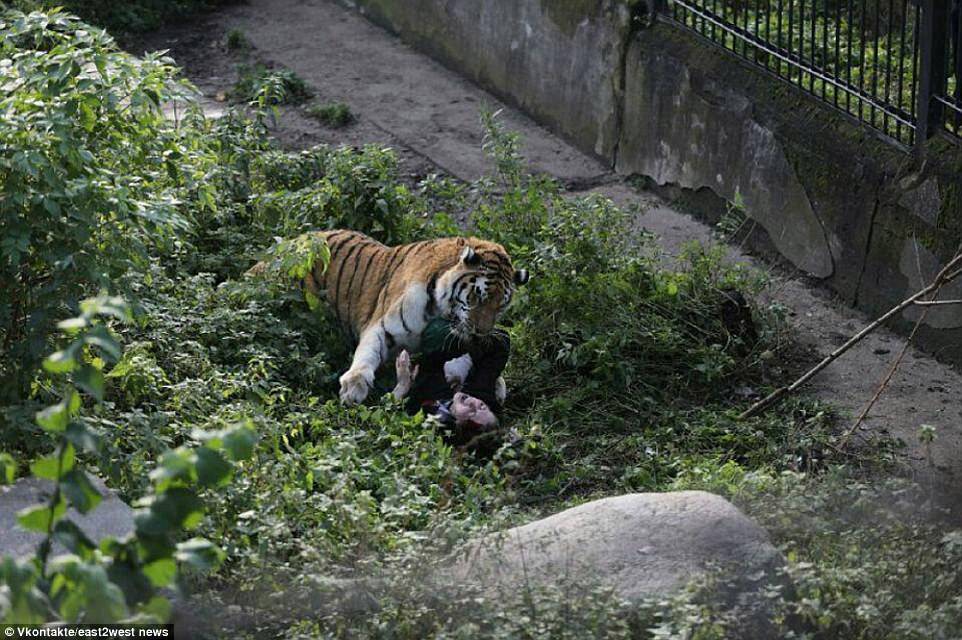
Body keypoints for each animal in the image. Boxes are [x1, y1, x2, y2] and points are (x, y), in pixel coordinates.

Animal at [292, 231, 528, 404]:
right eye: (477, 296)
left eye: (500, 306)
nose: (480, 333)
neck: (440, 311)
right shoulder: (383, 326)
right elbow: (367, 352)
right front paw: (354, 386)